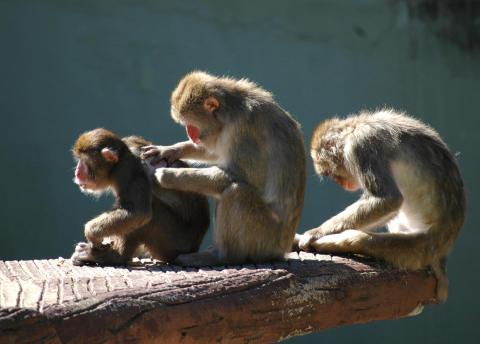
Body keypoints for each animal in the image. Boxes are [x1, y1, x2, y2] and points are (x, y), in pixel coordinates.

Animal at [70, 129, 209, 266]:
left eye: (84, 162)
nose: (77, 173)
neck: (121, 156)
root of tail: (194, 247)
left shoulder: (127, 168)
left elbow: (138, 212)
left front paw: (91, 232)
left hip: (174, 244)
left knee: (152, 210)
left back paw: (114, 257)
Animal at [143, 71, 308, 268]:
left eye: (190, 124)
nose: (190, 135)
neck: (230, 114)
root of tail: (282, 249)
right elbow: (216, 153)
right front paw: (171, 150)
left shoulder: (244, 131)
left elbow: (238, 175)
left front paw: (167, 177)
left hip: (265, 239)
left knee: (236, 192)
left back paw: (223, 257)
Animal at [298, 109, 466, 302]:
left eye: (333, 174)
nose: (342, 184)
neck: (355, 127)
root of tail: (442, 251)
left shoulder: (361, 146)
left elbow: (388, 199)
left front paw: (316, 233)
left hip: (420, 247)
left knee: (362, 240)